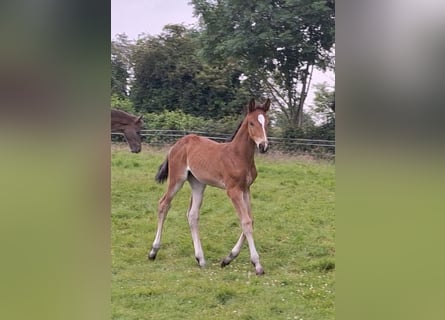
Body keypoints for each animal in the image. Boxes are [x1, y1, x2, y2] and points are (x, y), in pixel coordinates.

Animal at [147, 98, 268, 276]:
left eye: (267, 122)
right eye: (252, 123)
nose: (263, 146)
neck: (238, 156)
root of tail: (177, 143)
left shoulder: (246, 189)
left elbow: (250, 220)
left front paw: (228, 258)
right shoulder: (233, 191)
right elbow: (245, 222)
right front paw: (257, 265)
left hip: (198, 183)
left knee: (192, 215)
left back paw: (201, 259)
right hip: (177, 179)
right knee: (163, 204)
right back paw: (153, 251)